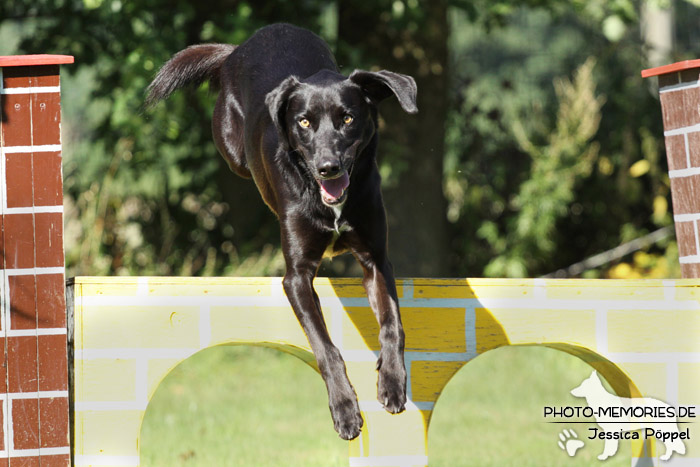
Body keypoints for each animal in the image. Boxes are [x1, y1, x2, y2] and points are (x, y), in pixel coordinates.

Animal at [147, 22, 416, 442]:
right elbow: (324, 347)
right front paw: (344, 409)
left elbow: (392, 325)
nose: (328, 167)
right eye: (303, 122)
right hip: (234, 150)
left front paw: (391, 382)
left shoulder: (376, 260)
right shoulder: (297, 276)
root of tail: (239, 46)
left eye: (348, 118)